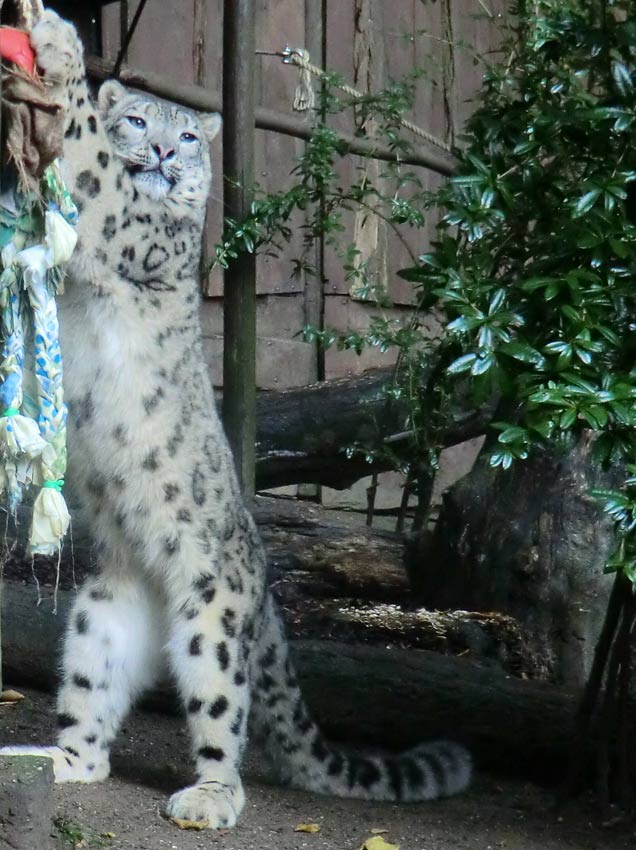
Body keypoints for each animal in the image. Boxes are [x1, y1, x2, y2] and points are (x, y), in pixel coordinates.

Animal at [1, 8, 472, 828]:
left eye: (189, 136)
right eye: (140, 120)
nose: (163, 152)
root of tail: (262, 583)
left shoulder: (135, 228)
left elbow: (91, 157)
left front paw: (60, 47)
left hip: (212, 621)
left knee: (224, 717)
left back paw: (208, 799)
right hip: (97, 620)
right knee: (92, 701)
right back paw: (61, 760)